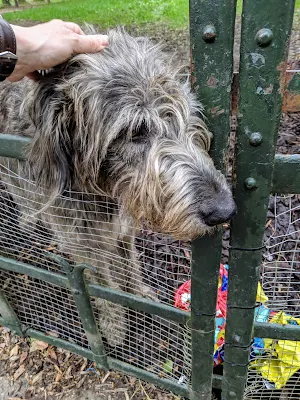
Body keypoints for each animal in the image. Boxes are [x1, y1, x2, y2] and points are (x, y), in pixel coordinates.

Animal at [0, 27, 237, 346]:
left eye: (187, 117)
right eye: (135, 132)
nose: (224, 210)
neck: (104, 189)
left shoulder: (123, 229)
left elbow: (130, 263)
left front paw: (139, 295)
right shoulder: (82, 242)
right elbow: (100, 285)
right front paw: (113, 324)